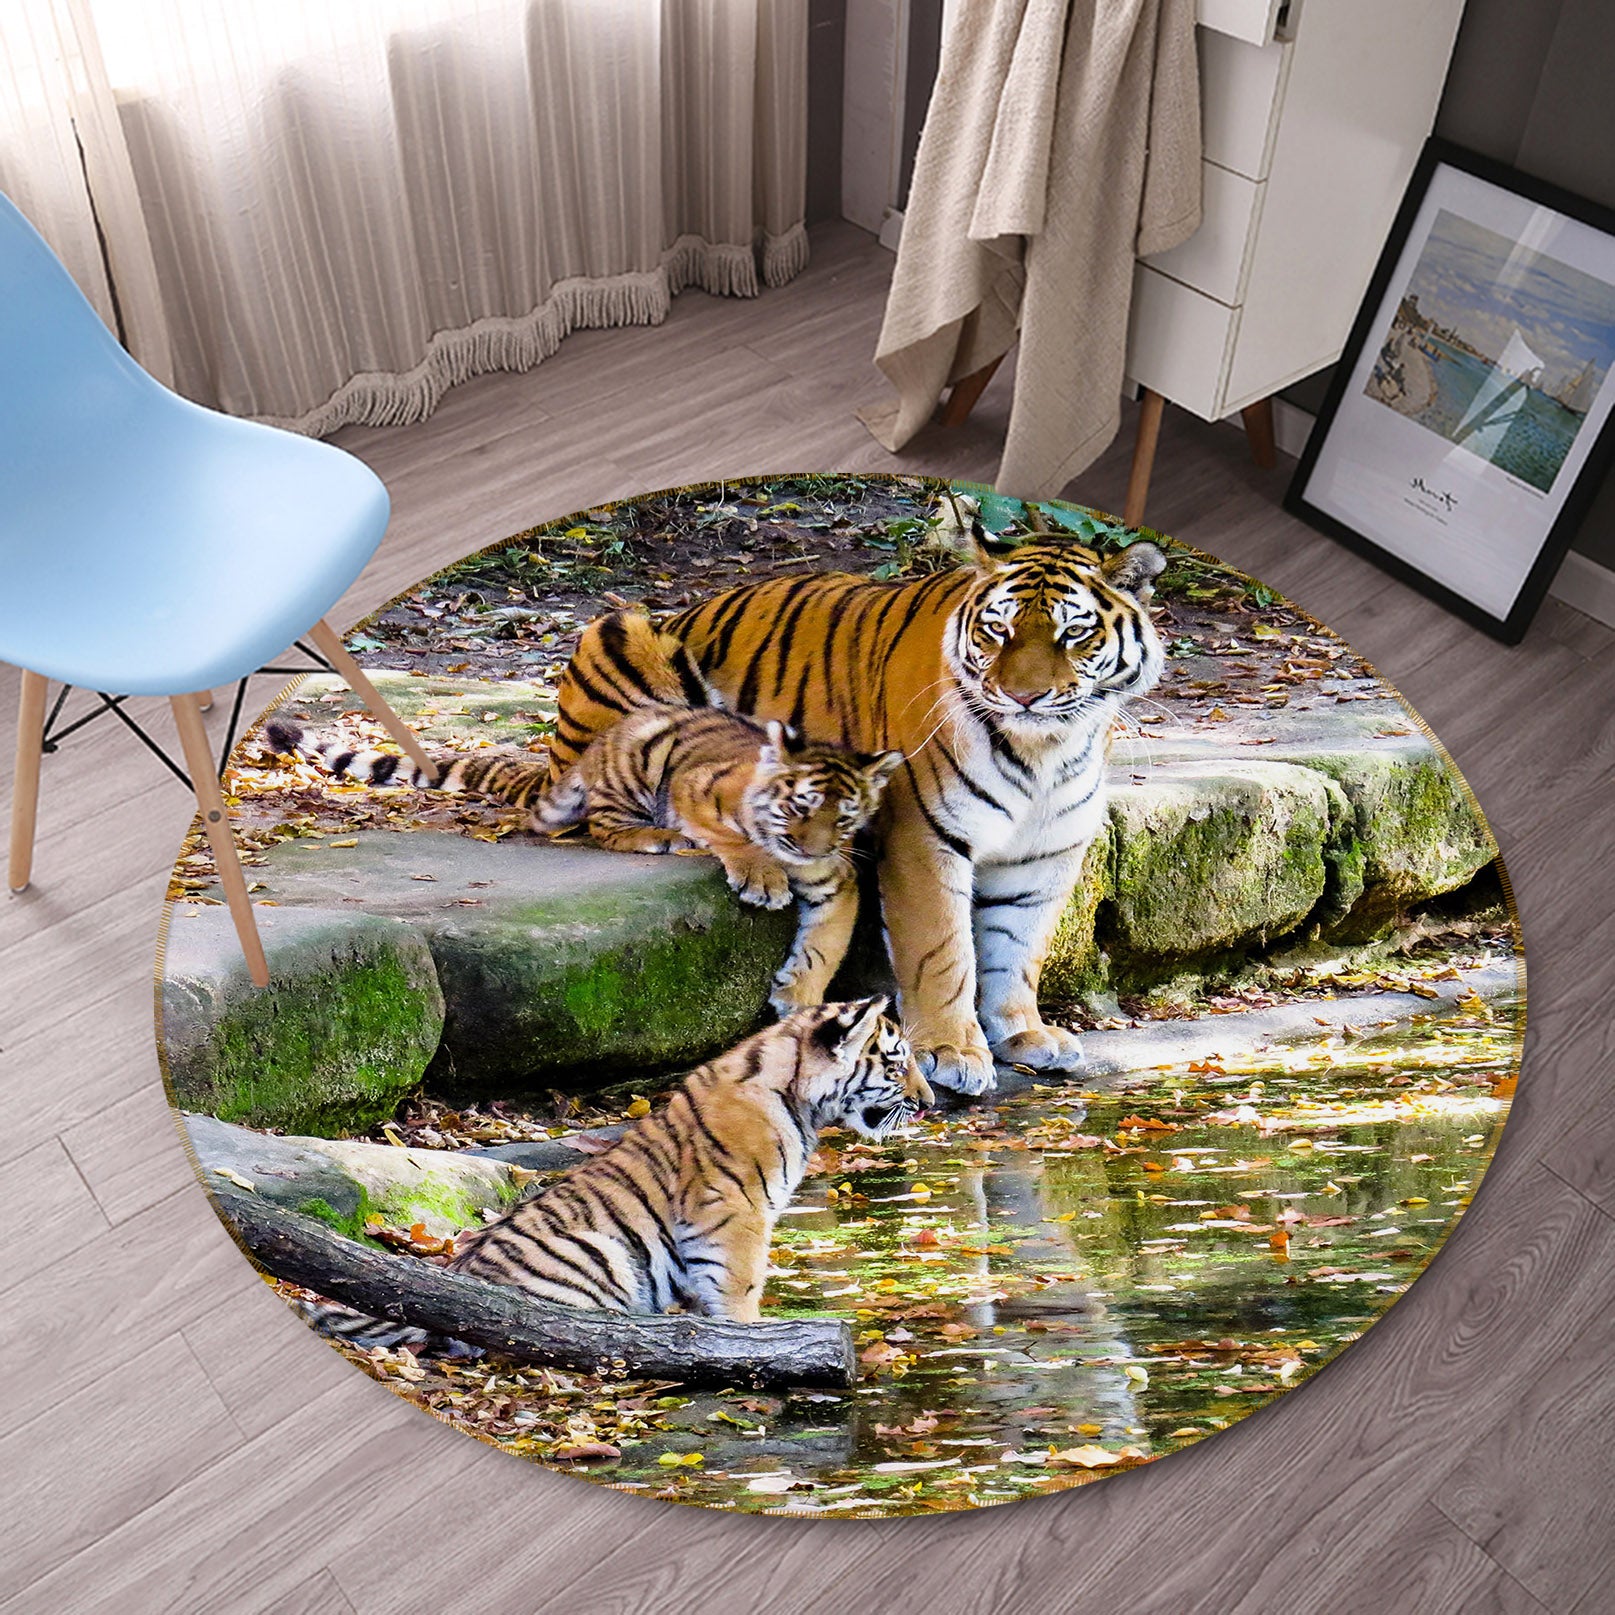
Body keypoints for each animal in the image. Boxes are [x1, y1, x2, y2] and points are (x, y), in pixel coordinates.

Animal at [303, 997, 931, 1352]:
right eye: (896, 1063)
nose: (929, 1104)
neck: (798, 1095)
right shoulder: (736, 1212)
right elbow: (741, 1285)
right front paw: (755, 1339)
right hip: (597, 1254)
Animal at [552, 515, 1167, 1096]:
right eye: (998, 629)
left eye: (1074, 633)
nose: (1023, 697)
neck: (1046, 751)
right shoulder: (924, 837)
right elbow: (943, 952)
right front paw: (953, 1050)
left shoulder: (1047, 851)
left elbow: (1019, 945)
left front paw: (1023, 1032)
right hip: (620, 637)